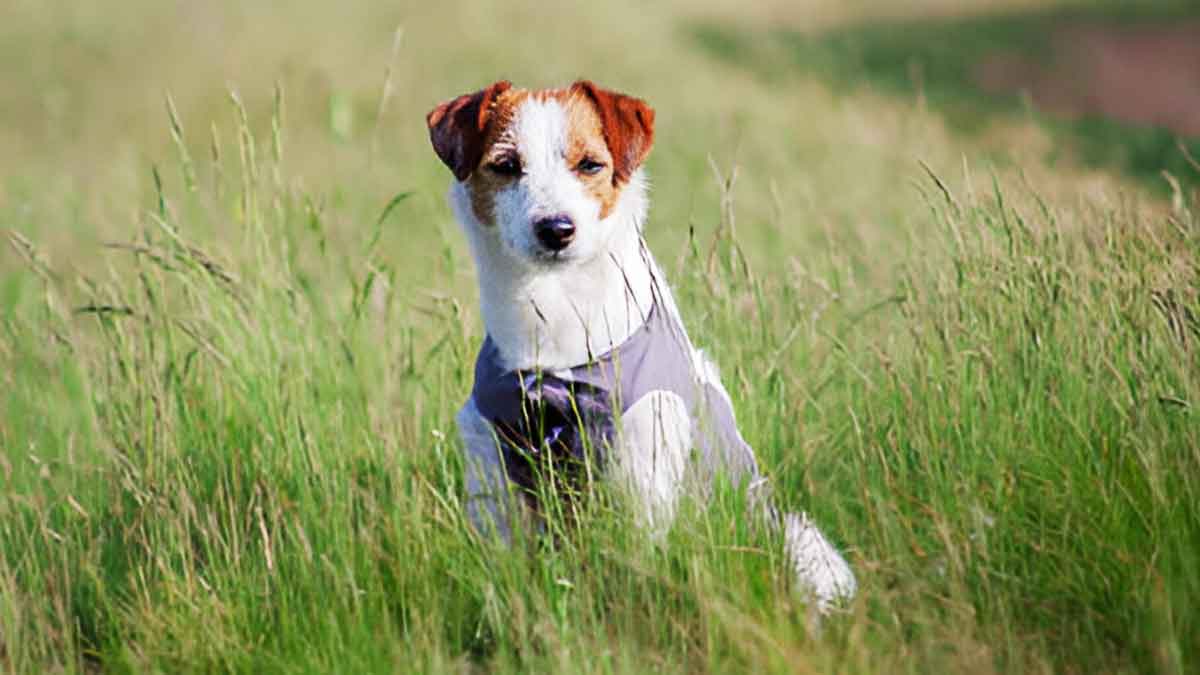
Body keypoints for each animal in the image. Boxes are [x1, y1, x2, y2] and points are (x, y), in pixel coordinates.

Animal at [427, 78, 859, 610]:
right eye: (507, 165)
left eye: (590, 165)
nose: (556, 229)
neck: (556, 326)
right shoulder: (490, 463)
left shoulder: (642, 468)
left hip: (799, 544)